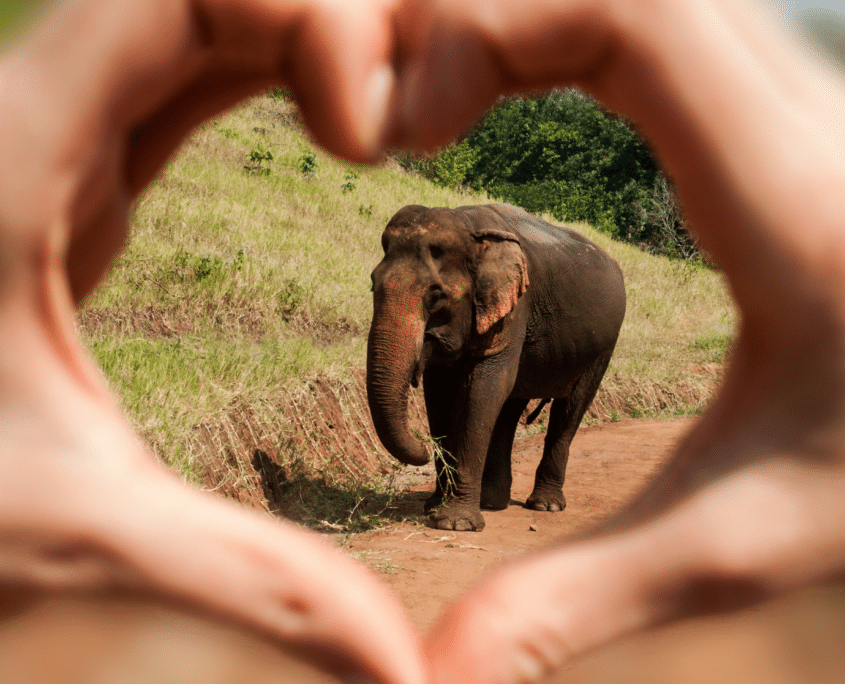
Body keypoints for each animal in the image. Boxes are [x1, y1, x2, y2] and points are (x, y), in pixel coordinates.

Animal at [366, 203, 626, 531]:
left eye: (436, 295)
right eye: (372, 284)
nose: (424, 449)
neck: (469, 227)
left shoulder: (515, 309)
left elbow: (481, 391)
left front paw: (455, 524)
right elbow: (439, 395)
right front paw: (434, 507)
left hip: (602, 349)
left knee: (570, 408)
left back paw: (545, 505)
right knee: (509, 409)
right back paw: (492, 502)